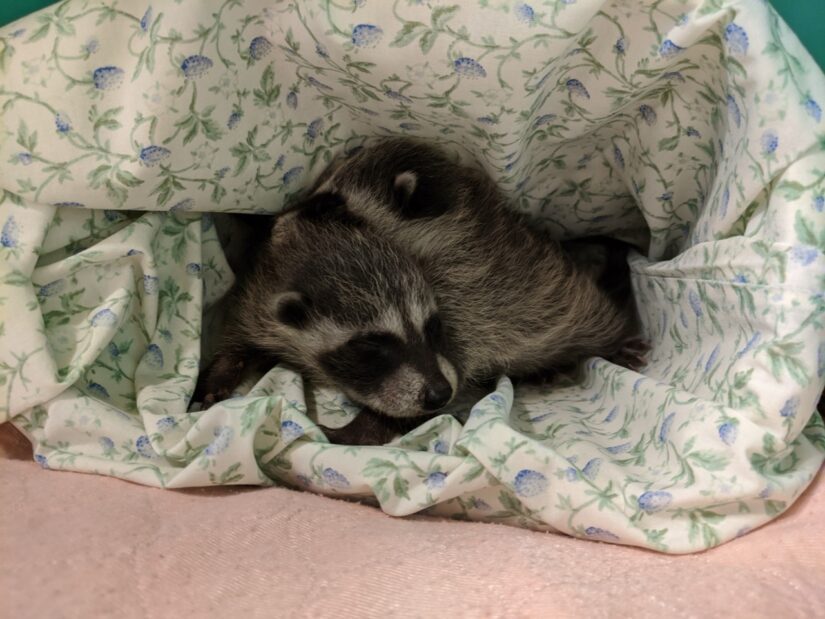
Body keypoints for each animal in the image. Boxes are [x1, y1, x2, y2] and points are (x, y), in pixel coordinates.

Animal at [196, 194, 460, 446]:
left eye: (433, 327)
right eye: (371, 344)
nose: (440, 393)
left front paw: (368, 426)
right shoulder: (256, 298)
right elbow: (238, 337)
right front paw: (221, 371)